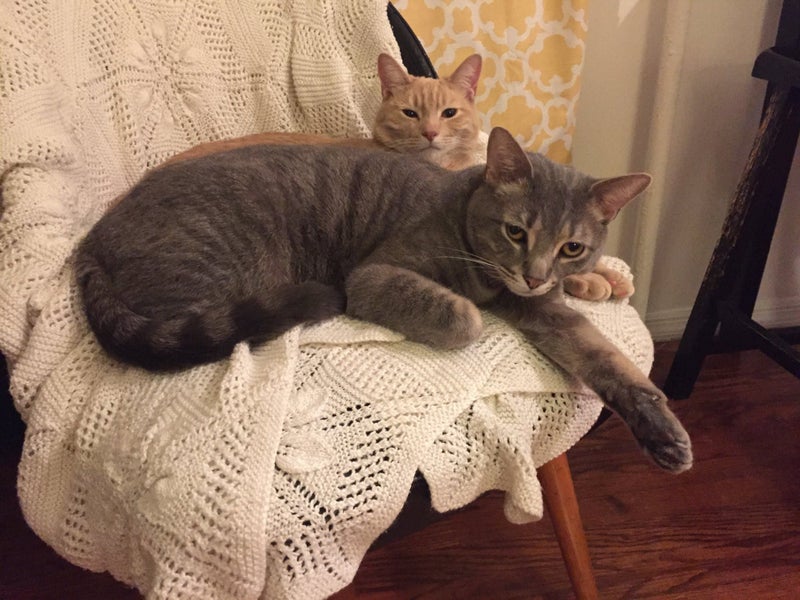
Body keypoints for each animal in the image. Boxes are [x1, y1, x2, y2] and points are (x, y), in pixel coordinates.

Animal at [76, 126, 692, 473]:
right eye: (516, 232)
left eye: (571, 248)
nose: (535, 275)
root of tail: (93, 238)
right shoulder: (374, 276)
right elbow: (465, 318)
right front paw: (469, 312)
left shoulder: (544, 310)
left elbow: (607, 358)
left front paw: (661, 431)